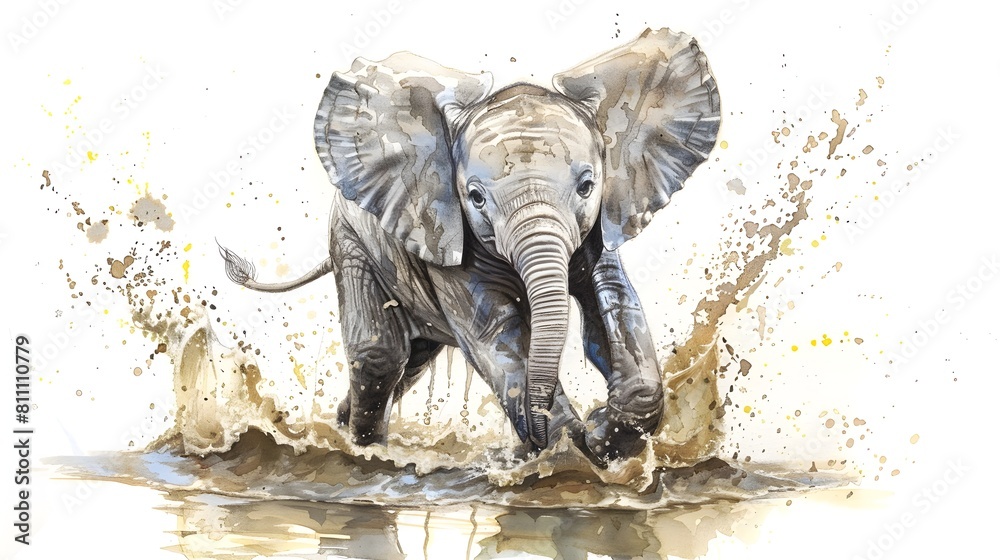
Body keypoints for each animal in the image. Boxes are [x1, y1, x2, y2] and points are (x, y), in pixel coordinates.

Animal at [219, 28, 720, 464]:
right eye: (476, 198)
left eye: (586, 186)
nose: (596, 417)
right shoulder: (446, 234)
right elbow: (497, 338)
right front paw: (571, 450)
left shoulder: (601, 224)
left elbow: (614, 306)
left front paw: (596, 435)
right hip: (350, 238)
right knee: (381, 358)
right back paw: (364, 453)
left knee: (410, 363)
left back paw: (339, 430)